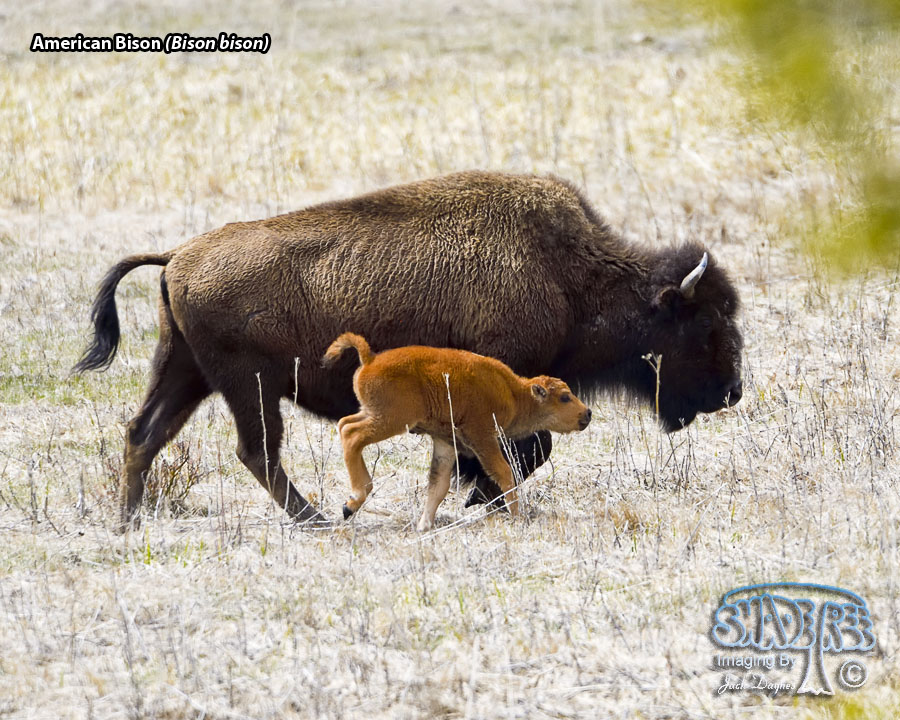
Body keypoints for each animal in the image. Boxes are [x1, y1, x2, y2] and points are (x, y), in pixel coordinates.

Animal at [74, 171, 743, 528]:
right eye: (705, 324)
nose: (732, 392)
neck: (571, 275)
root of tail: (176, 256)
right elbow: (527, 448)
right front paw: (482, 497)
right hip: (246, 385)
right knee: (255, 449)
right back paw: (317, 517)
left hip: (184, 370)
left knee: (145, 434)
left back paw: (128, 520)